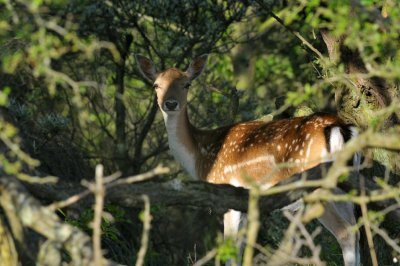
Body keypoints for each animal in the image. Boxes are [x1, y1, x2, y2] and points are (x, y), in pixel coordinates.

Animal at [136, 54, 360, 266]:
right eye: (156, 85)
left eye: (187, 84)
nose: (170, 103)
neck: (199, 155)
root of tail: (341, 128)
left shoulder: (228, 193)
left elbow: (230, 253)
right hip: (348, 184)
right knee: (357, 230)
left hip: (317, 184)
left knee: (345, 233)